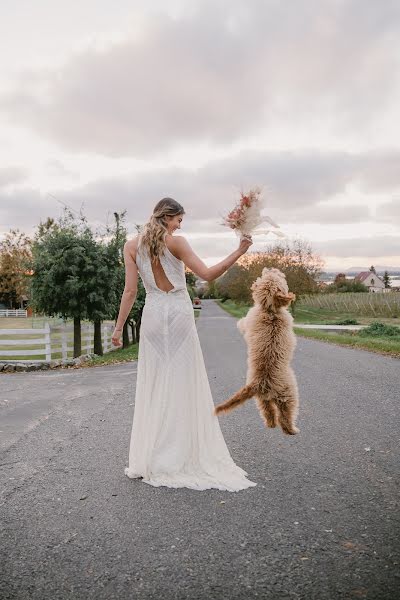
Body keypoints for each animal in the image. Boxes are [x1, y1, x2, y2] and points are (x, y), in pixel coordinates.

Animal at [214, 270, 298, 434]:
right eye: (277, 278)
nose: (271, 269)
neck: (269, 310)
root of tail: (259, 383)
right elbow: (243, 322)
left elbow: (244, 323)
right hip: (288, 395)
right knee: (284, 417)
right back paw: (292, 429)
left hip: (262, 400)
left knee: (268, 413)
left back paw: (271, 424)